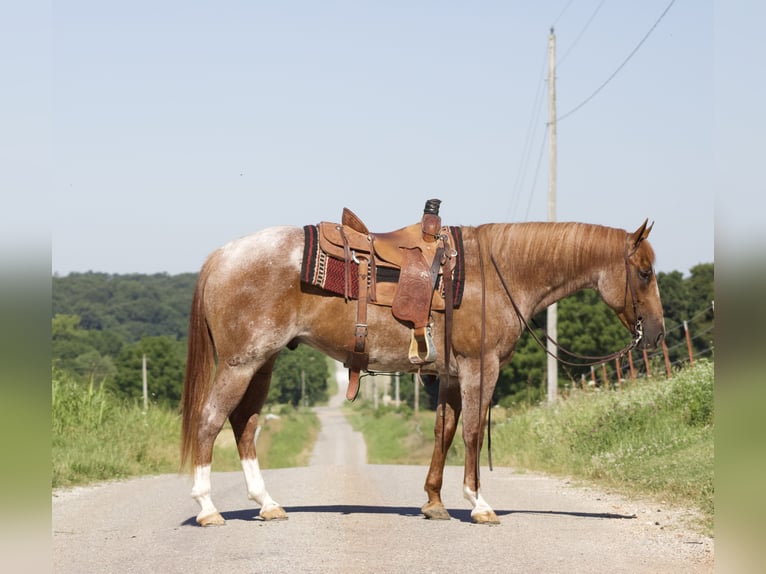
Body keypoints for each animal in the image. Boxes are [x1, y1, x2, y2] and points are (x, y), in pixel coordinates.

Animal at [182, 202, 664, 528]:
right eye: (644, 272)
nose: (657, 333)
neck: (497, 273)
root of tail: (222, 255)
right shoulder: (479, 368)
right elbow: (471, 431)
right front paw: (478, 504)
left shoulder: (449, 375)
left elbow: (443, 432)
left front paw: (434, 503)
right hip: (241, 363)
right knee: (210, 420)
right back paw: (207, 508)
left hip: (262, 363)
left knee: (245, 425)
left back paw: (267, 504)